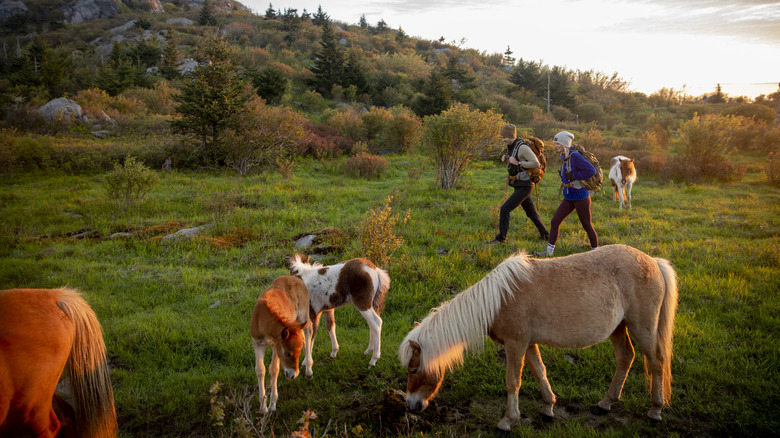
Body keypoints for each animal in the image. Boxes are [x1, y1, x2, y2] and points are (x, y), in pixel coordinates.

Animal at [248, 276, 312, 416]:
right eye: (287, 353)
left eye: (297, 353)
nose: (293, 375)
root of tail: (295, 278)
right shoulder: (257, 343)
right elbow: (260, 370)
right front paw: (263, 407)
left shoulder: (275, 345)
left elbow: (274, 369)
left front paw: (272, 405)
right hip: (296, 325)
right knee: (304, 337)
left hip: (302, 316)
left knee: (308, 332)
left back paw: (309, 370)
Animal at [400, 245, 680, 432]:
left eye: (414, 370)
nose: (411, 405)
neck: (498, 300)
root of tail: (653, 262)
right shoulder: (529, 344)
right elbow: (539, 372)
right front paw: (548, 408)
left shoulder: (515, 344)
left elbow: (513, 382)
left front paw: (508, 421)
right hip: (618, 328)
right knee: (625, 357)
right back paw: (606, 403)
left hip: (642, 327)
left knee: (656, 363)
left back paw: (655, 410)